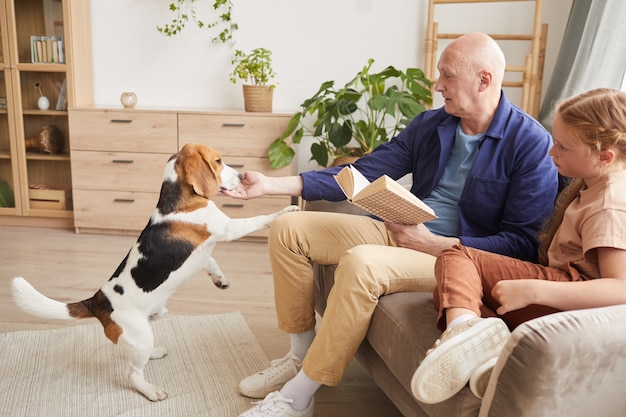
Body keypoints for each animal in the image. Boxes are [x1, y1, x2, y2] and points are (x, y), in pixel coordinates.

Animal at [11, 142, 298, 400]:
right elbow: (258, 219)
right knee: (133, 374)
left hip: (148, 325)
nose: (241, 176)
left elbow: (211, 261)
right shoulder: (227, 228)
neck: (180, 199)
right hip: (140, 337)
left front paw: (220, 279)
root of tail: (97, 301)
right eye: (218, 161)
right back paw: (151, 390)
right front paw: (286, 210)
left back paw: (155, 353)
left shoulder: (203, 254)